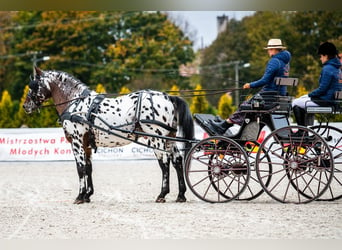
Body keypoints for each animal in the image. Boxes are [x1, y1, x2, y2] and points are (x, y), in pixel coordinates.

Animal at [23, 67, 195, 204]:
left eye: (34, 86)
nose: (25, 106)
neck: (75, 103)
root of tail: (168, 97)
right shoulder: (86, 144)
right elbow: (88, 168)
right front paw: (87, 195)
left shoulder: (77, 141)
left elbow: (80, 168)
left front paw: (80, 196)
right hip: (169, 139)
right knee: (177, 161)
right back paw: (180, 195)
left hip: (156, 139)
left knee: (164, 164)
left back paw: (162, 195)